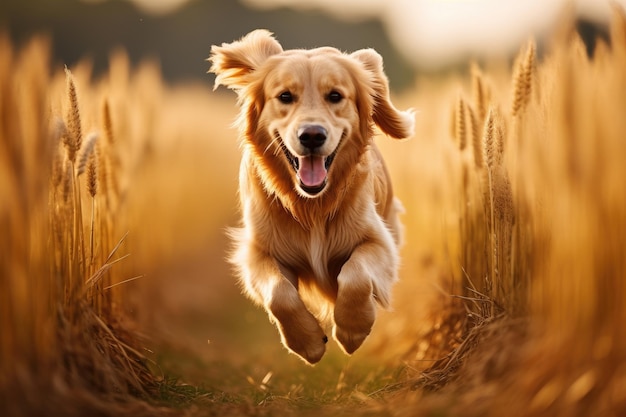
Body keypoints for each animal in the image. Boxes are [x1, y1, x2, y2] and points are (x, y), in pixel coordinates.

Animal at [210, 29, 412, 362]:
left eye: (335, 96)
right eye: (285, 96)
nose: (312, 136)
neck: (312, 205)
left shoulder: (380, 242)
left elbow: (355, 276)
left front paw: (353, 329)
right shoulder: (258, 251)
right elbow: (280, 295)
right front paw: (308, 342)